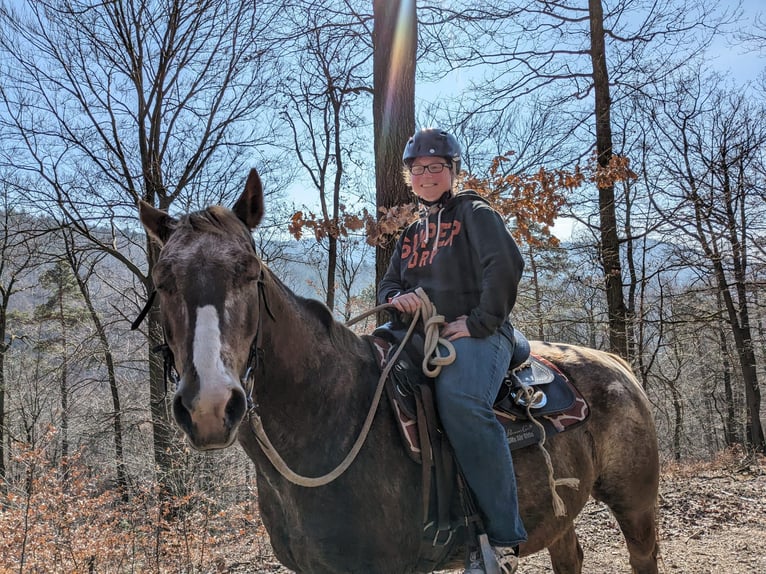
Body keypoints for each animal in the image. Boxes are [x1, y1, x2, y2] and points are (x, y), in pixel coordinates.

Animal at [141, 169, 664, 574]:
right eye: (161, 282)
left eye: (249, 272)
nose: (209, 407)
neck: (330, 418)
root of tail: (614, 363)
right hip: (561, 515)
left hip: (636, 505)